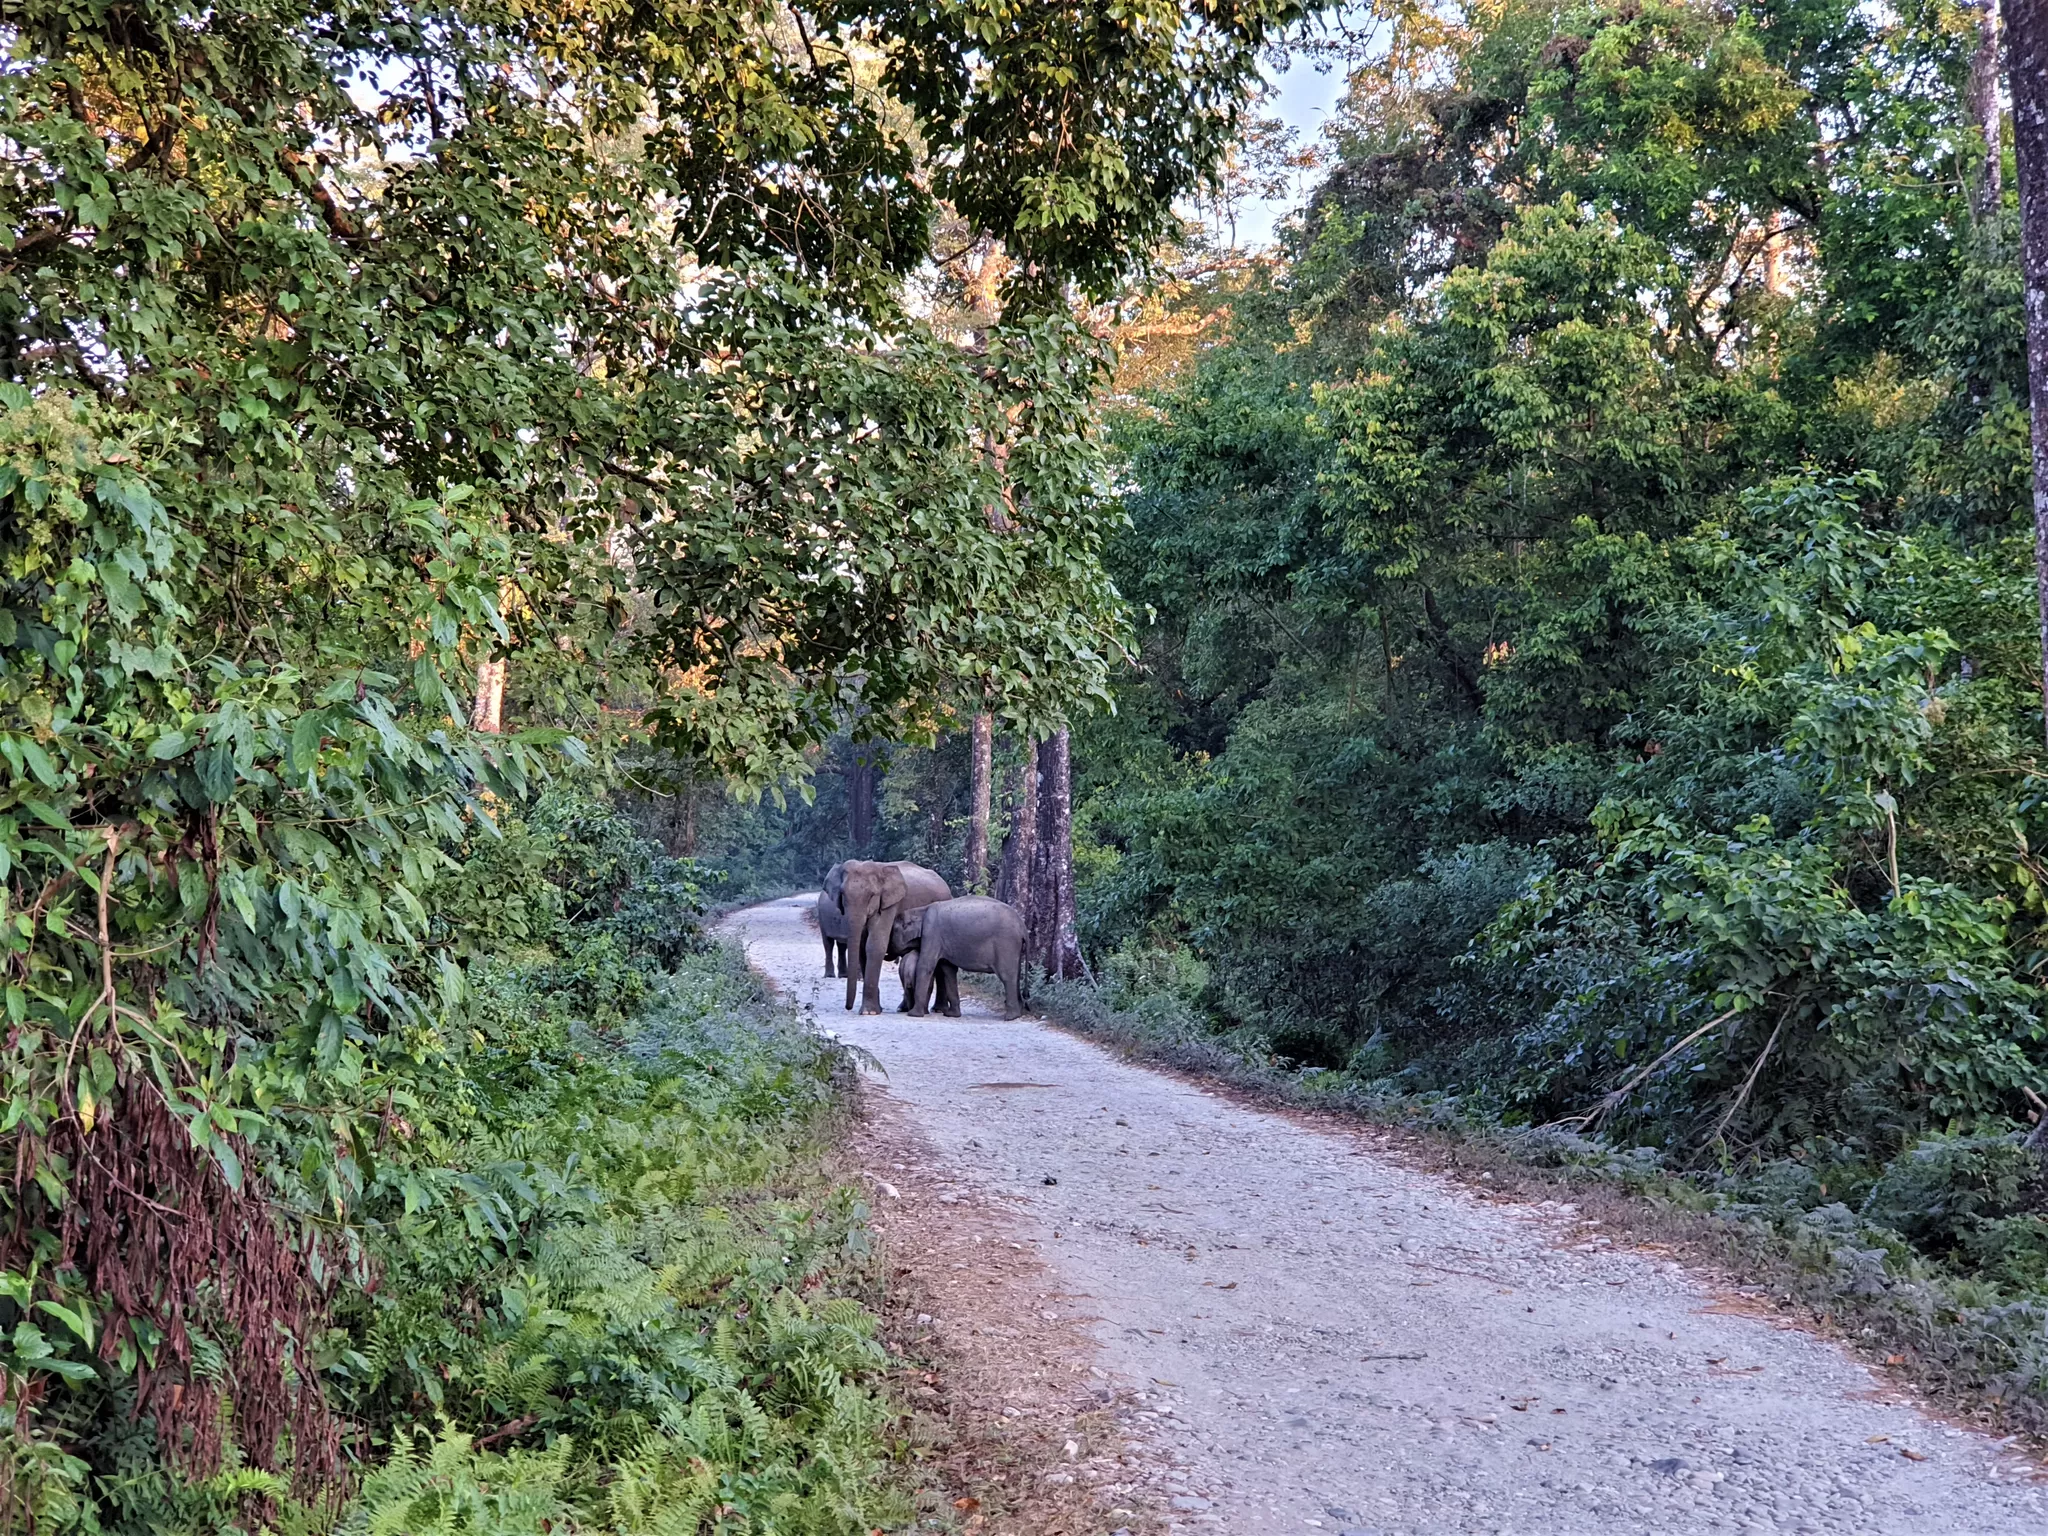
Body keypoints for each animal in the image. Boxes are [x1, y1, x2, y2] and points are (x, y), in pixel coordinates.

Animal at [892, 888, 1032, 1024]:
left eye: (893, 930)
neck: (920, 910)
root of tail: (1023, 927)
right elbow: (948, 970)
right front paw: (951, 1015)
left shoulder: (931, 933)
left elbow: (926, 966)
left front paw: (913, 1015)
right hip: (1015, 948)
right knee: (1016, 975)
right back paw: (1017, 1014)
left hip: (1006, 944)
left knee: (1007, 976)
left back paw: (1010, 1017)